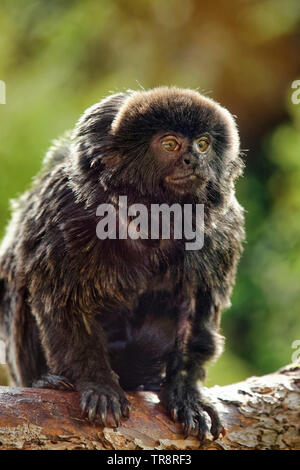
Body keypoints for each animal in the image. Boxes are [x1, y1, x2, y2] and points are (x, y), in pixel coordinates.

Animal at [0, 87, 245, 440]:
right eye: (170, 144)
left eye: (202, 144)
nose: (194, 161)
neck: (154, 218)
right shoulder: (65, 209)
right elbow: (63, 302)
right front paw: (98, 384)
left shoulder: (222, 232)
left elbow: (197, 310)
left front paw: (187, 394)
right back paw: (43, 380)